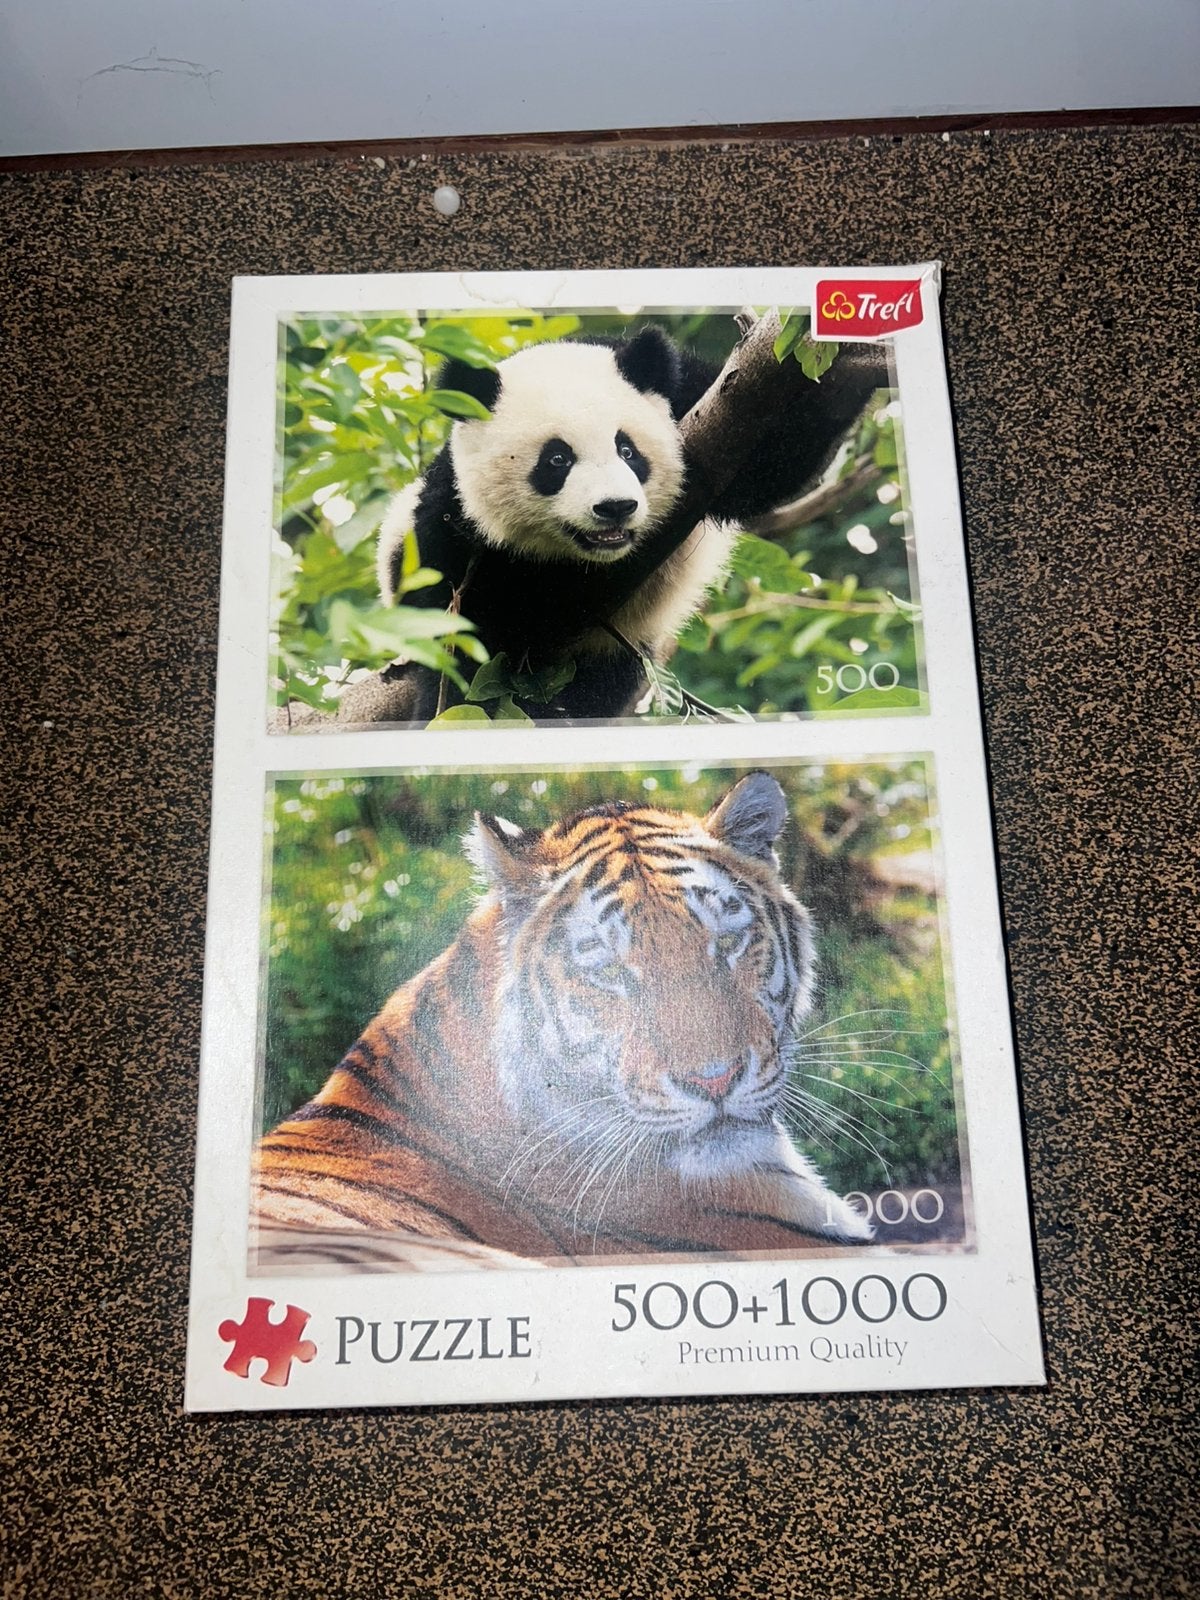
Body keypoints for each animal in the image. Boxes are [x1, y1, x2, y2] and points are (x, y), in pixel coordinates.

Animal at [343, 324, 885, 724]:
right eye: (556, 460)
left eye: (628, 450)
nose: (615, 507)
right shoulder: (452, 519)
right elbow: (455, 624)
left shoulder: (695, 398)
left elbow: (773, 459)